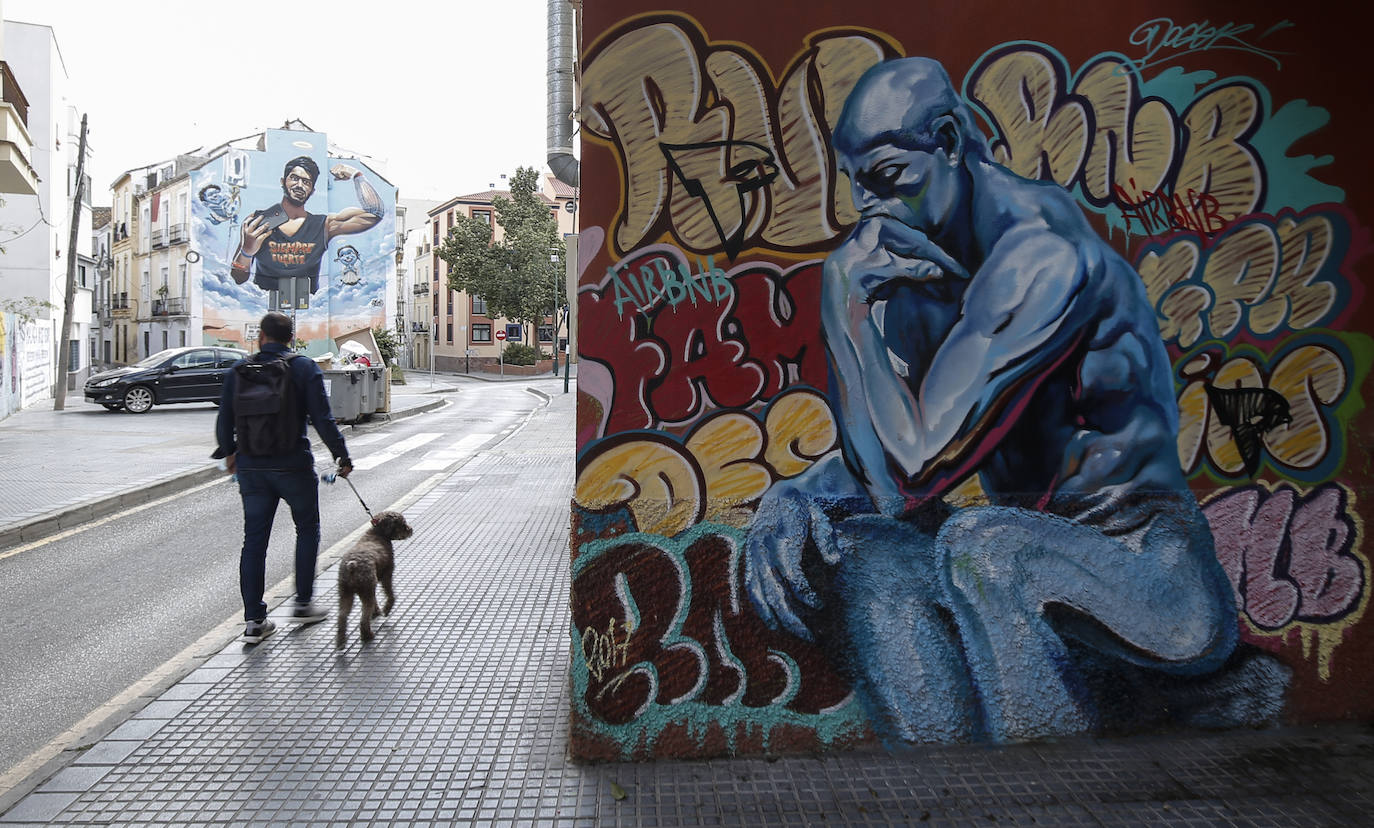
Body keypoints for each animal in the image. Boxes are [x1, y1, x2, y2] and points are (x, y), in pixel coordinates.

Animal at [336, 508, 412, 650]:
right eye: (402, 523)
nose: (410, 529)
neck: (378, 533)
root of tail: (352, 566)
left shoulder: (372, 583)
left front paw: (376, 611)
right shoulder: (387, 574)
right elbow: (390, 594)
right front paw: (386, 609)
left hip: (346, 591)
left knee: (342, 615)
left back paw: (341, 641)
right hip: (365, 588)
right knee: (364, 617)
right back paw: (368, 635)